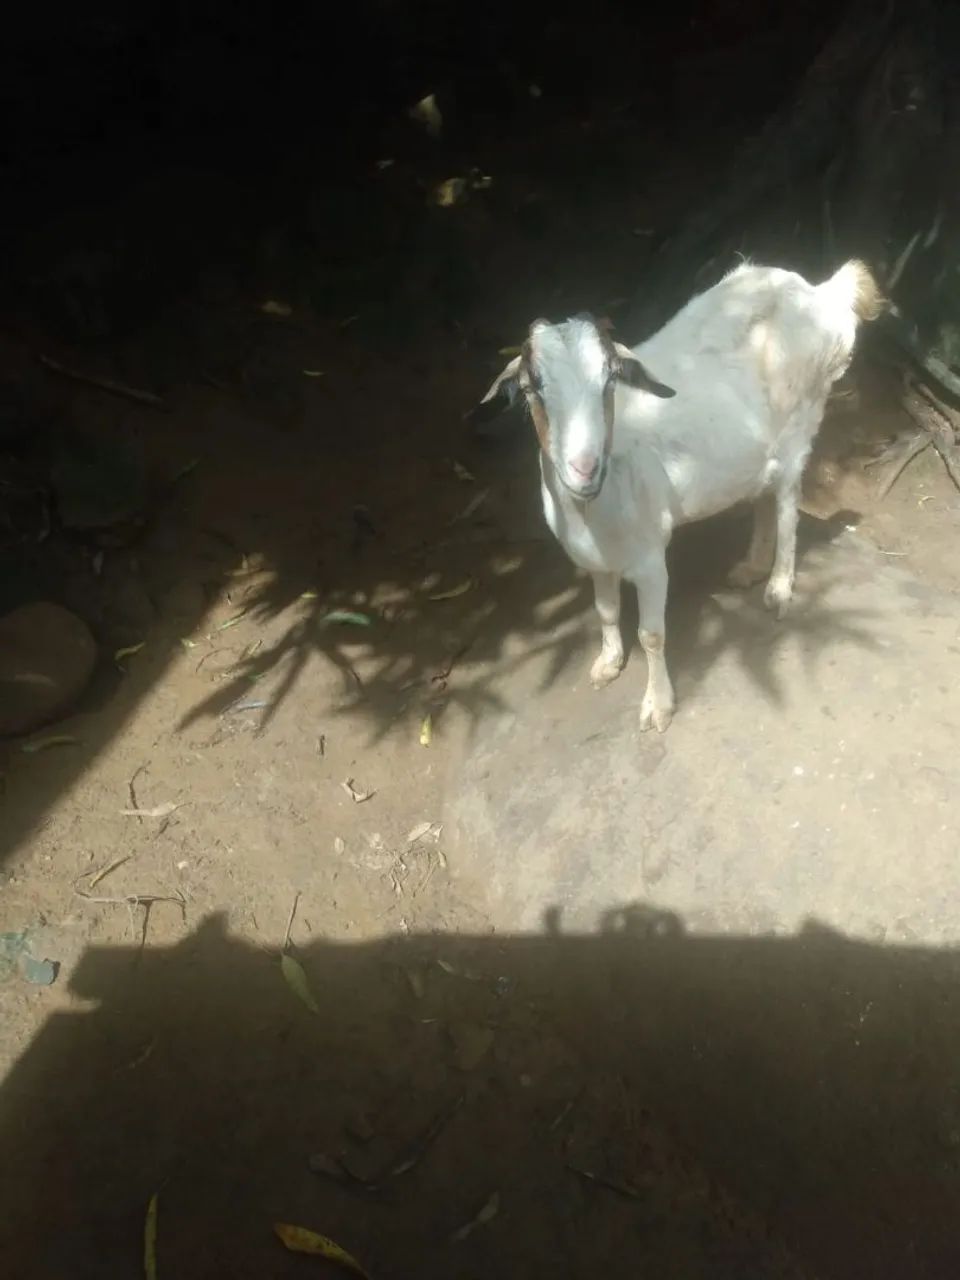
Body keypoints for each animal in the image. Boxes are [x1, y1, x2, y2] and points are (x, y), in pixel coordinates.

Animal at [477, 260, 883, 732]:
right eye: (531, 387)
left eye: (610, 380)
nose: (584, 468)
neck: (594, 508)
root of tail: (821, 294)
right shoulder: (594, 559)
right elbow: (605, 611)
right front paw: (608, 663)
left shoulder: (651, 557)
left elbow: (652, 635)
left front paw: (658, 706)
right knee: (764, 497)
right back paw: (750, 568)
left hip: (801, 425)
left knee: (787, 504)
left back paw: (779, 587)